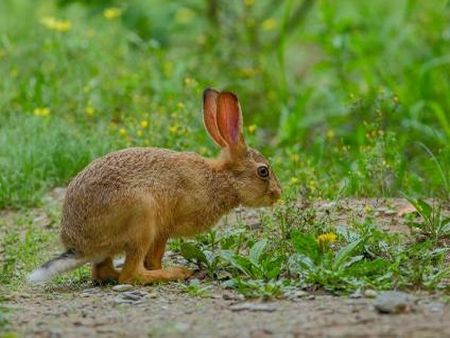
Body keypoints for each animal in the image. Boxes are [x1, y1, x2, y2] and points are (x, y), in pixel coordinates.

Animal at [28, 88, 282, 284]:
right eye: (263, 171)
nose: (277, 194)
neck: (220, 180)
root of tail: (79, 246)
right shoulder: (163, 227)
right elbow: (154, 258)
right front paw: (165, 269)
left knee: (103, 272)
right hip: (142, 217)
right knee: (131, 275)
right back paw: (176, 272)